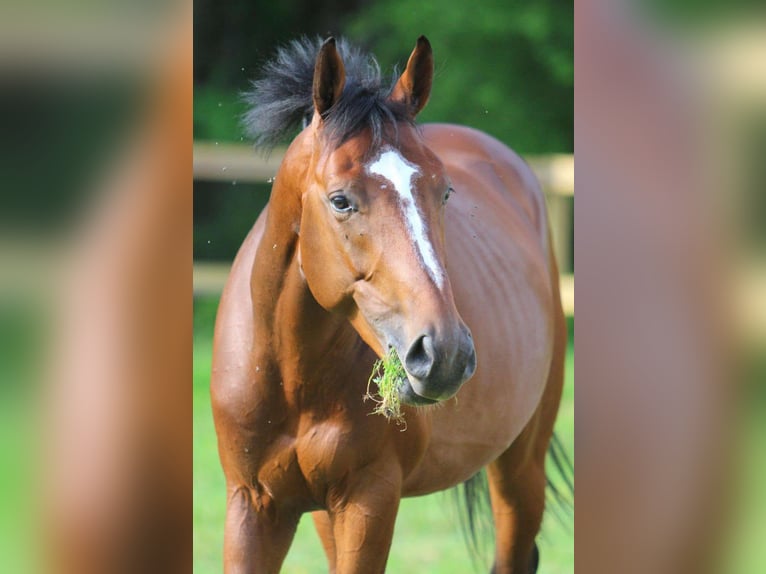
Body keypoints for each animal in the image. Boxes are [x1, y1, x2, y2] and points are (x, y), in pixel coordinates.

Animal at [210, 37, 568, 574]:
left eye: (445, 192)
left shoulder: (369, 500)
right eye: (340, 200)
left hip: (521, 467)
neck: (292, 376)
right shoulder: (252, 506)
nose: (445, 355)